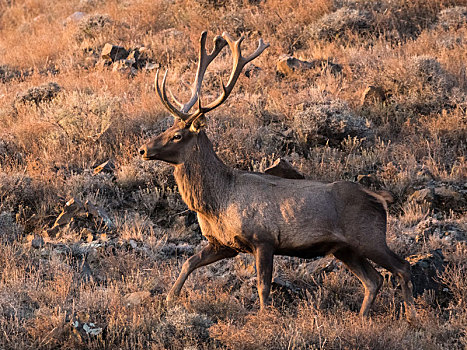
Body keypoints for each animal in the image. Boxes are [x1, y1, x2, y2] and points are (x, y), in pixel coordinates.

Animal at [140, 31, 416, 318]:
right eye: (167, 128)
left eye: (177, 135)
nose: (143, 150)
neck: (218, 203)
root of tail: (380, 199)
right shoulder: (224, 244)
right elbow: (189, 262)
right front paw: (170, 298)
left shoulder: (263, 238)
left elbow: (263, 285)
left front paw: (264, 317)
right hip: (346, 249)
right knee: (374, 279)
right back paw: (363, 318)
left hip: (370, 236)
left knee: (402, 267)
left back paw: (412, 315)